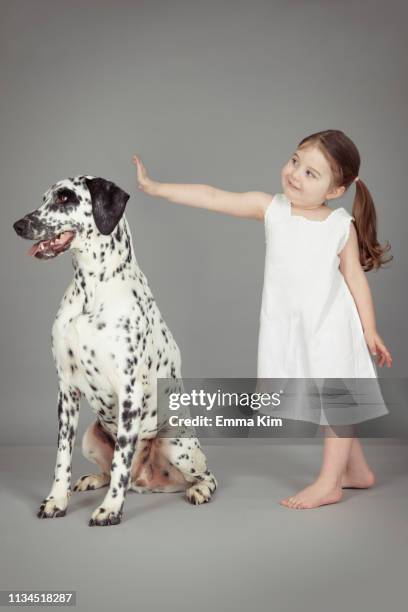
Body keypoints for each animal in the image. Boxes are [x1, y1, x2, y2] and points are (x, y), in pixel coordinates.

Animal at [11, 176, 217, 524]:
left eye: (65, 197)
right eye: (43, 198)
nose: (18, 225)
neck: (91, 290)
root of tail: (144, 481)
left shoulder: (129, 391)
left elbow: (122, 459)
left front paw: (110, 509)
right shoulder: (66, 390)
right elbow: (61, 458)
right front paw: (57, 500)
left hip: (176, 443)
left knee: (204, 475)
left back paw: (198, 490)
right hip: (89, 437)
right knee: (109, 471)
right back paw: (92, 479)